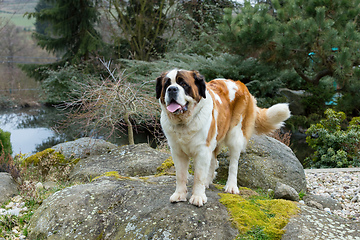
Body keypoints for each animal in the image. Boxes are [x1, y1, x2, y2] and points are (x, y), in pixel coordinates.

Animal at [156, 68, 292, 206]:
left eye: (183, 84)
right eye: (166, 84)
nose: (172, 89)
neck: (184, 123)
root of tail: (239, 83)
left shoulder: (202, 150)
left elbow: (199, 176)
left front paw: (198, 196)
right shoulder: (177, 151)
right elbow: (181, 175)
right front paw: (179, 195)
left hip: (235, 136)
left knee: (233, 164)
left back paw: (231, 186)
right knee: (213, 161)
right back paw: (208, 182)